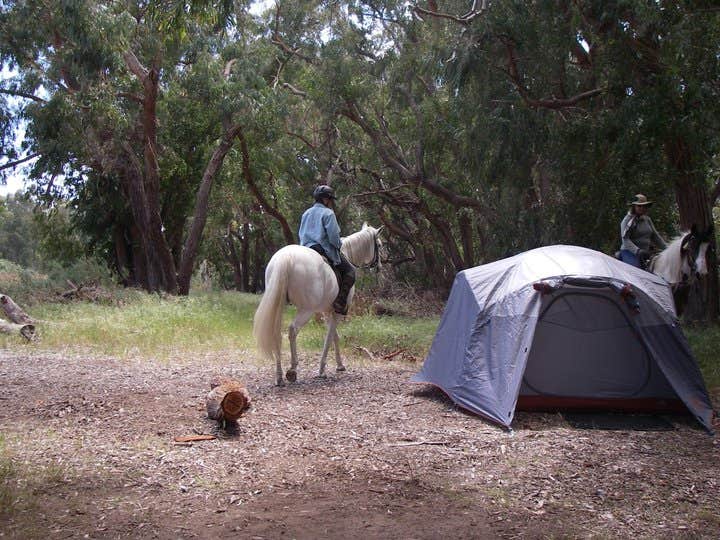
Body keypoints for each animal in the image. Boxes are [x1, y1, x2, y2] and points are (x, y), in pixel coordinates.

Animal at [253, 223, 383, 386]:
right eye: (379, 245)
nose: (379, 267)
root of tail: (286, 257)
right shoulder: (336, 312)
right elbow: (329, 337)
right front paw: (322, 370)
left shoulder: (326, 311)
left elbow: (335, 336)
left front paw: (340, 365)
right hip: (306, 310)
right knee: (293, 330)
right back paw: (292, 370)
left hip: (279, 304)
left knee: (276, 333)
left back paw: (279, 376)